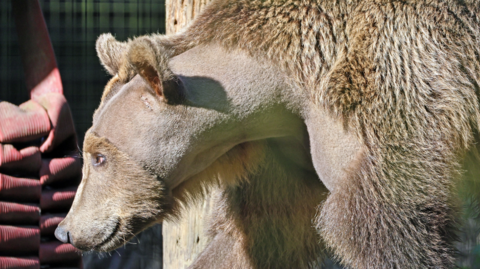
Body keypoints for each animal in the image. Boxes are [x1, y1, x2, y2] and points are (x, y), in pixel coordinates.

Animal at [54, 1, 480, 266]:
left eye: (99, 156)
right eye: (89, 153)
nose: (65, 230)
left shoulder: (387, 98)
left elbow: (388, 226)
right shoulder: (288, 155)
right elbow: (256, 236)